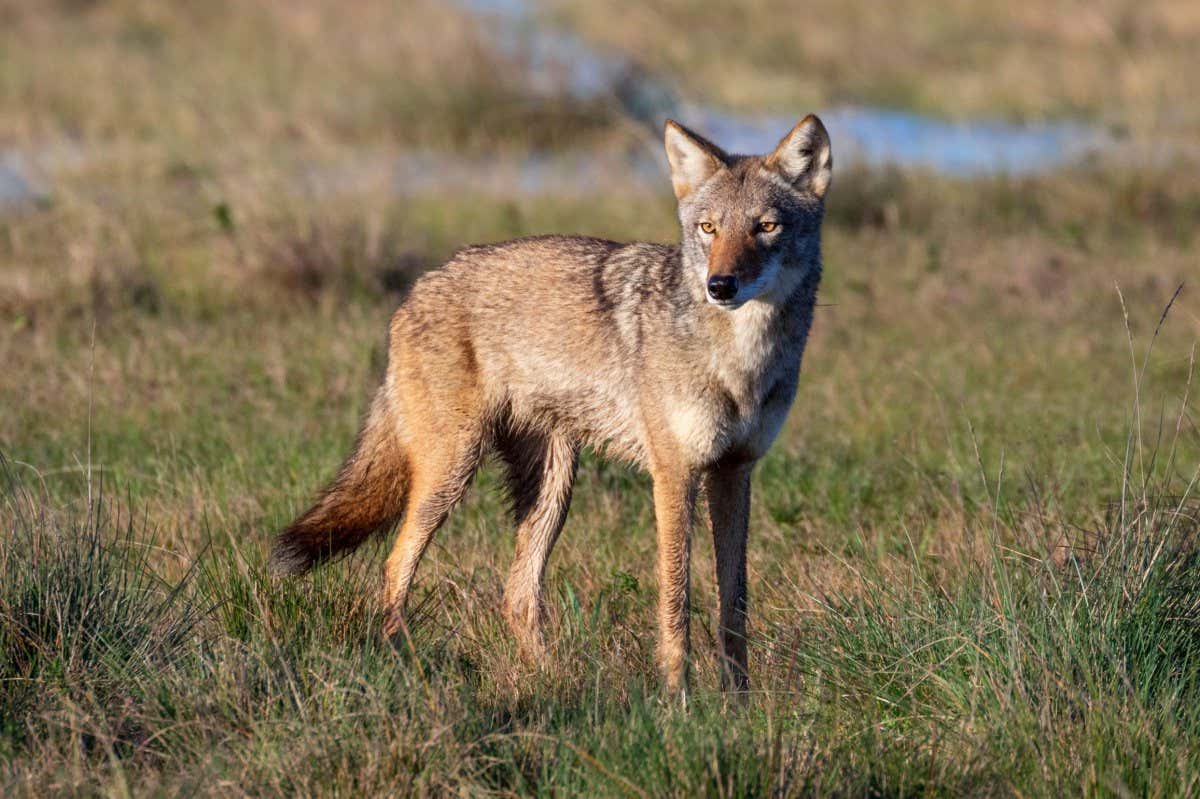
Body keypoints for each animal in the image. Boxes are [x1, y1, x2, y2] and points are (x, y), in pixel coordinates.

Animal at [271, 116, 832, 696]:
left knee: (516, 597)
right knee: (394, 566)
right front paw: (678, 697)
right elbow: (677, 596)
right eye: (708, 229)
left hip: (553, 487)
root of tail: (419, 286)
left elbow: (734, 602)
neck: (742, 359)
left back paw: (556, 680)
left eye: (765, 227)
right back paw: (410, 668)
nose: (720, 285)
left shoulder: (734, 471)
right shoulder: (674, 474)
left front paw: (739, 701)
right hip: (452, 473)